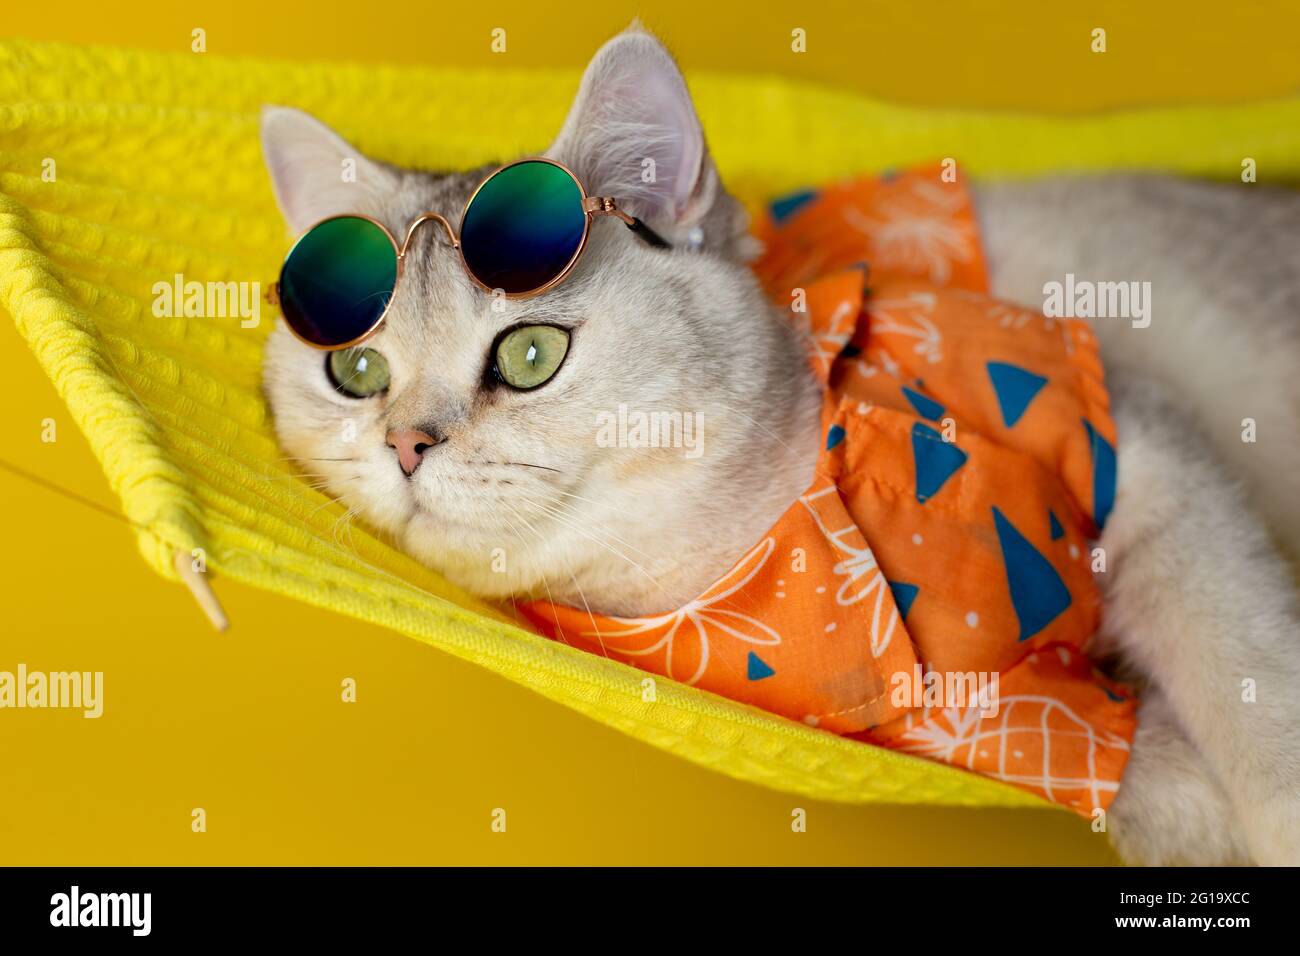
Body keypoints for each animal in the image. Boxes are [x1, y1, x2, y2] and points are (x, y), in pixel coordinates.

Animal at [256, 27, 1300, 868]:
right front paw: (1187, 801)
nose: (405, 443)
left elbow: (1246, 679)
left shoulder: (1145, 452)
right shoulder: (962, 719)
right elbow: (1109, 756)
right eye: (356, 370)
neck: (785, 533)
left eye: (529, 354)